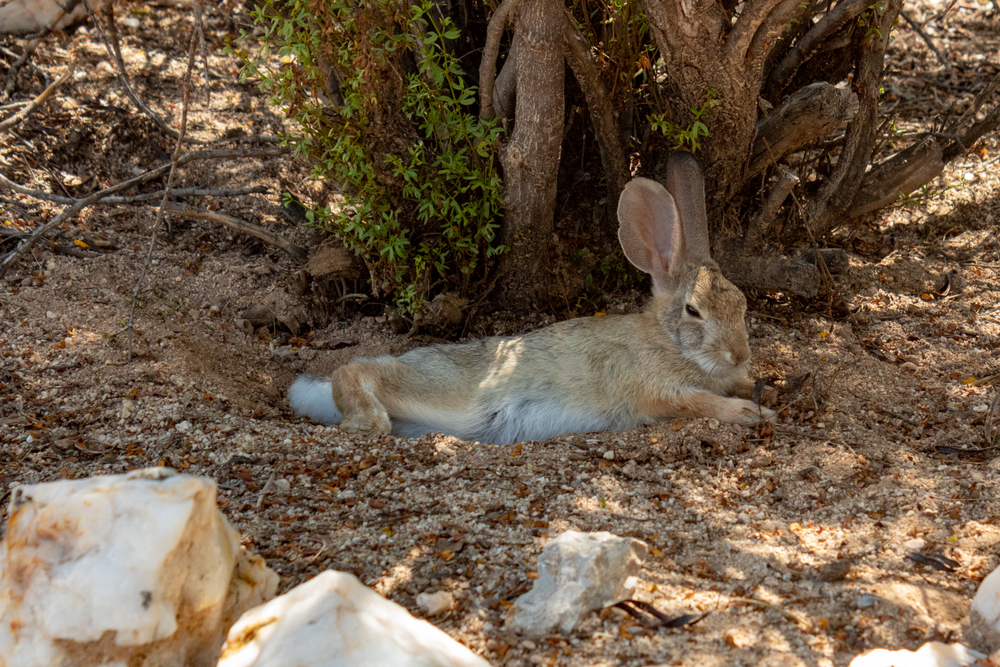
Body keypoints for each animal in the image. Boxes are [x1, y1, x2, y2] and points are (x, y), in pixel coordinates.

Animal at [290, 151, 772, 444]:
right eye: (693, 311)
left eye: (742, 304)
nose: (740, 354)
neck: (668, 341)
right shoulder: (653, 390)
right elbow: (696, 401)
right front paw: (751, 413)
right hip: (436, 388)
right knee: (356, 370)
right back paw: (368, 420)